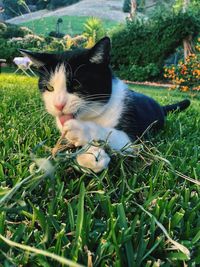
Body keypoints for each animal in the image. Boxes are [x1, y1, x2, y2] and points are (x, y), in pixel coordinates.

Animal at [20, 36, 191, 173]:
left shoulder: (133, 136)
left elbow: (115, 136)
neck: (96, 114)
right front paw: (90, 156)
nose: (58, 105)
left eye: (76, 85)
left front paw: (81, 131)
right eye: (49, 87)